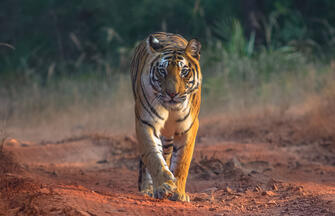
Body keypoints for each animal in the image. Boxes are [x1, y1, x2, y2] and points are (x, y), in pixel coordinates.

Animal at [130, 32, 201, 202]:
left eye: (184, 71)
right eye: (162, 71)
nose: (172, 93)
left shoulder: (188, 128)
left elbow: (182, 161)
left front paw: (179, 193)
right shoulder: (146, 123)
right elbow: (153, 157)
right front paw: (164, 186)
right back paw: (148, 189)